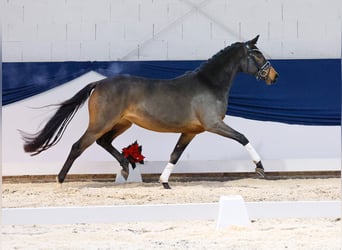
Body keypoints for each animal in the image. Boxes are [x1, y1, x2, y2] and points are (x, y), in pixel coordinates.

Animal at [20, 34, 278, 188]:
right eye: (257, 54)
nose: (274, 76)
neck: (209, 84)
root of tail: (100, 83)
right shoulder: (213, 124)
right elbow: (242, 137)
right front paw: (260, 168)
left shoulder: (191, 131)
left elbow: (175, 154)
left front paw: (164, 182)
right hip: (101, 123)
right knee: (79, 146)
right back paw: (60, 179)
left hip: (122, 123)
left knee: (104, 142)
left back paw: (126, 167)